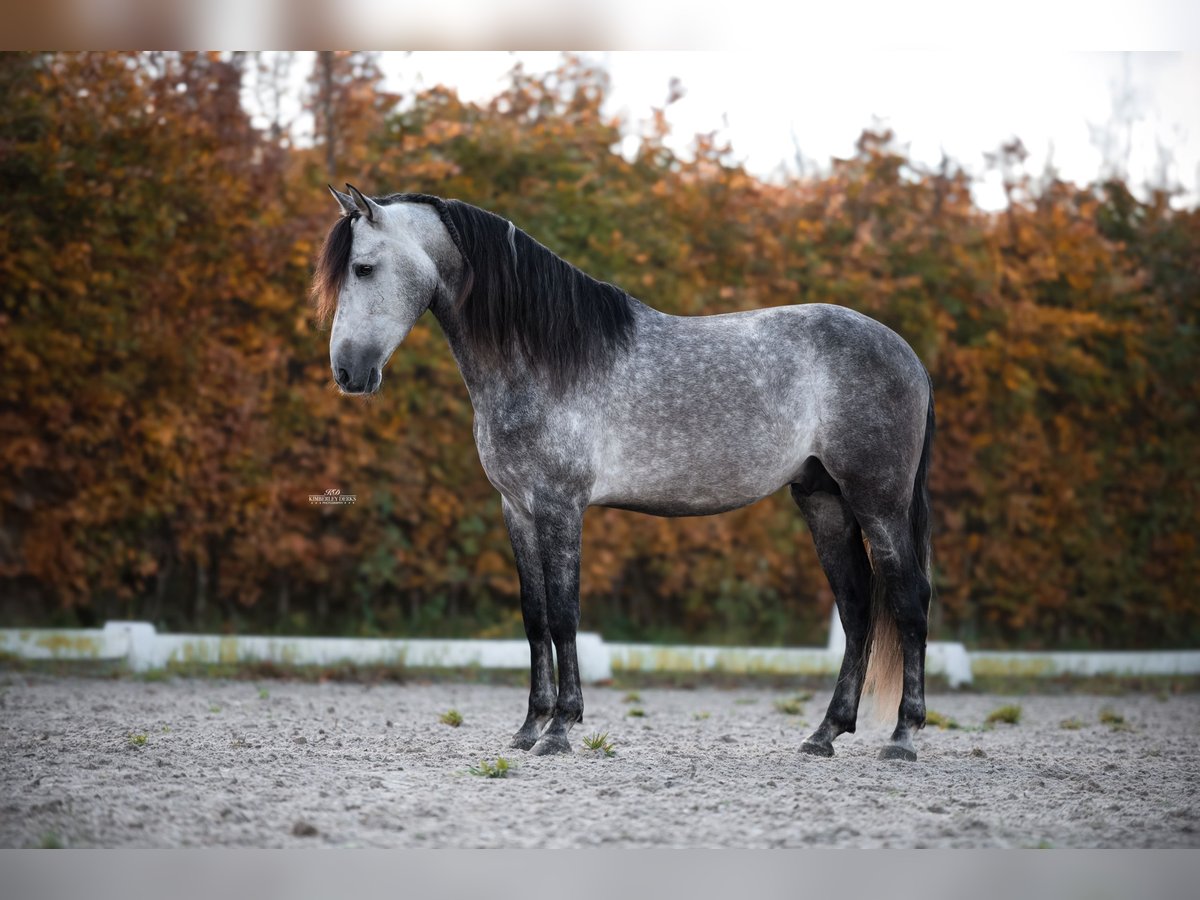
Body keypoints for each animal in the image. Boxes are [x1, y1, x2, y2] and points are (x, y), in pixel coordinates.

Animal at [314, 187, 931, 763]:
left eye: (364, 268)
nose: (347, 372)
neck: (543, 358)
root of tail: (907, 354)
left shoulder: (560, 504)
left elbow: (564, 615)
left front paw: (561, 728)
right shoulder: (517, 507)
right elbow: (534, 617)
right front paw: (529, 727)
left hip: (878, 501)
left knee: (908, 600)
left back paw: (902, 737)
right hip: (823, 500)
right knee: (857, 608)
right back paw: (824, 734)